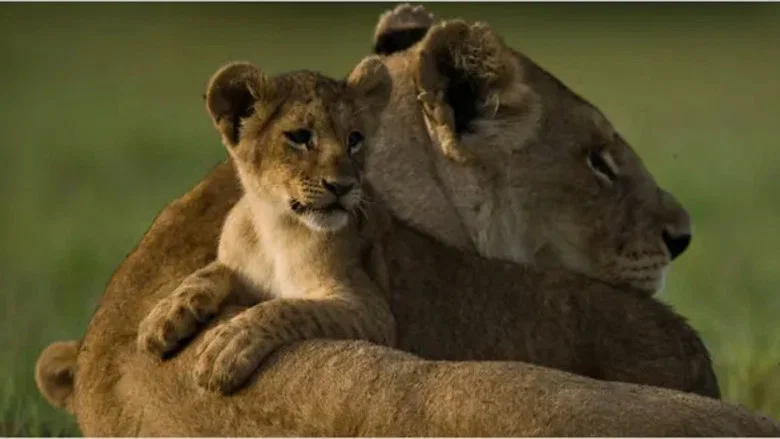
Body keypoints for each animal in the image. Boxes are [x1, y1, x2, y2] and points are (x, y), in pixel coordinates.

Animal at [137, 60, 397, 394]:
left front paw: (227, 348)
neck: (278, 227)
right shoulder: (238, 265)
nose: (343, 186)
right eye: (300, 136)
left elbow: (290, 307)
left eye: (354, 139)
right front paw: (162, 318)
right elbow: (208, 272)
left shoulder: (373, 313)